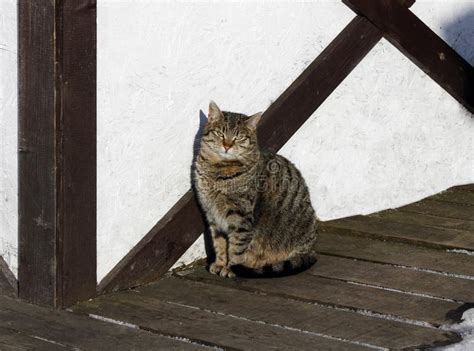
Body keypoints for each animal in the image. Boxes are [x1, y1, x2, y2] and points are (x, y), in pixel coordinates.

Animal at [193, 101, 318, 278]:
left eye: (238, 137)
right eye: (220, 133)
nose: (227, 145)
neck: (218, 171)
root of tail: (311, 249)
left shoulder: (241, 217)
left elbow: (236, 248)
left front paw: (231, 268)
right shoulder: (212, 215)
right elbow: (220, 244)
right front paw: (220, 263)